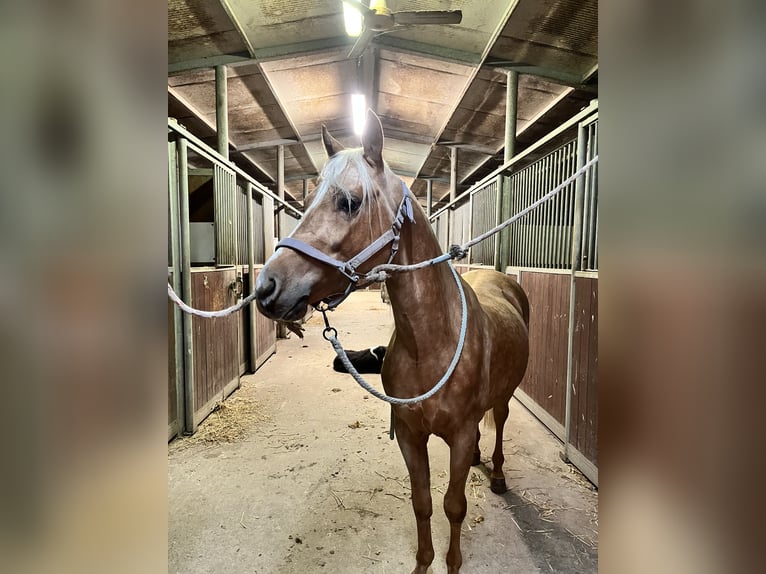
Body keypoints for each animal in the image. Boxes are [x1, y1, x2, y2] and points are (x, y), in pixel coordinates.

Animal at [255, 110, 529, 574]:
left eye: (349, 201)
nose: (266, 287)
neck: (432, 343)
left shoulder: (457, 436)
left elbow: (454, 505)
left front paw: (452, 563)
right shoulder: (408, 435)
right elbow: (422, 503)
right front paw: (423, 564)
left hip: (505, 398)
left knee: (499, 425)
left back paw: (496, 474)